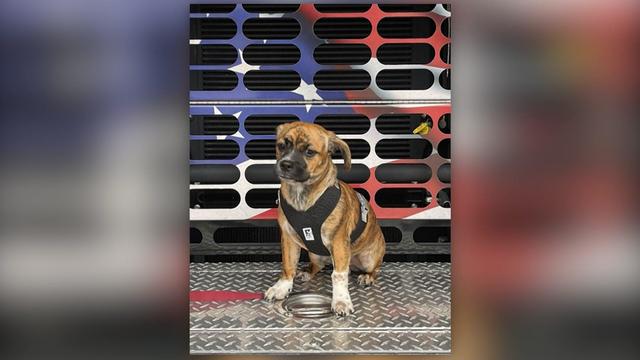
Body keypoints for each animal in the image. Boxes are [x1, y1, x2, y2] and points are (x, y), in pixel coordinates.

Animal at [264, 121, 384, 316]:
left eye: (309, 152)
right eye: (282, 146)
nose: (286, 164)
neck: (302, 195)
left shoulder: (338, 242)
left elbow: (339, 275)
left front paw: (341, 300)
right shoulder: (288, 239)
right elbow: (288, 265)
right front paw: (281, 287)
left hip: (369, 258)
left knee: (374, 269)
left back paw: (367, 277)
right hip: (315, 254)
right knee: (318, 266)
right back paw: (306, 271)